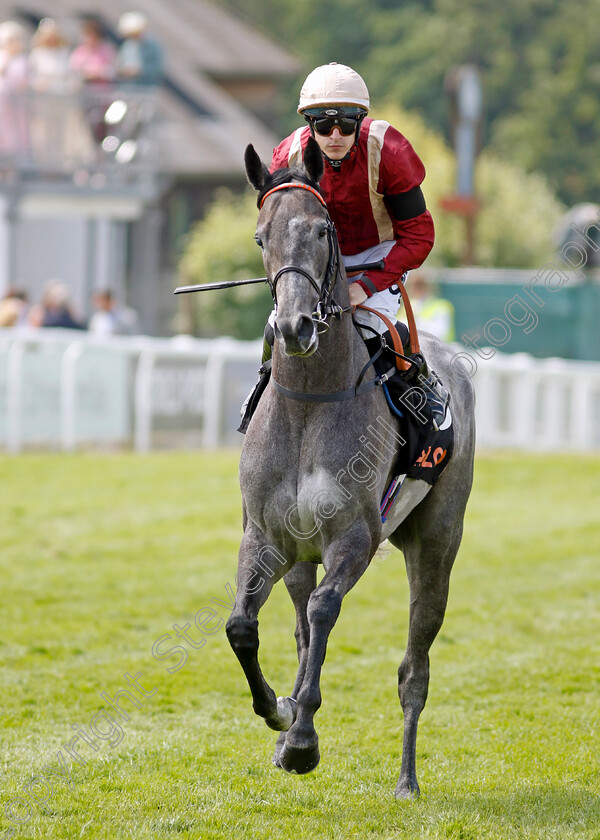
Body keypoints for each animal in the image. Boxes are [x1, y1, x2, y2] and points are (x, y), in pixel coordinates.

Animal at [224, 135, 474, 796]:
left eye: (320, 229)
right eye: (261, 236)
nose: (294, 325)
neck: (310, 403)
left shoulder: (355, 537)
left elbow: (325, 610)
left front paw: (302, 741)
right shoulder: (266, 535)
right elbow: (242, 627)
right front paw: (279, 712)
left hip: (436, 544)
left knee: (414, 666)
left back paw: (407, 778)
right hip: (297, 556)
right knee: (298, 625)